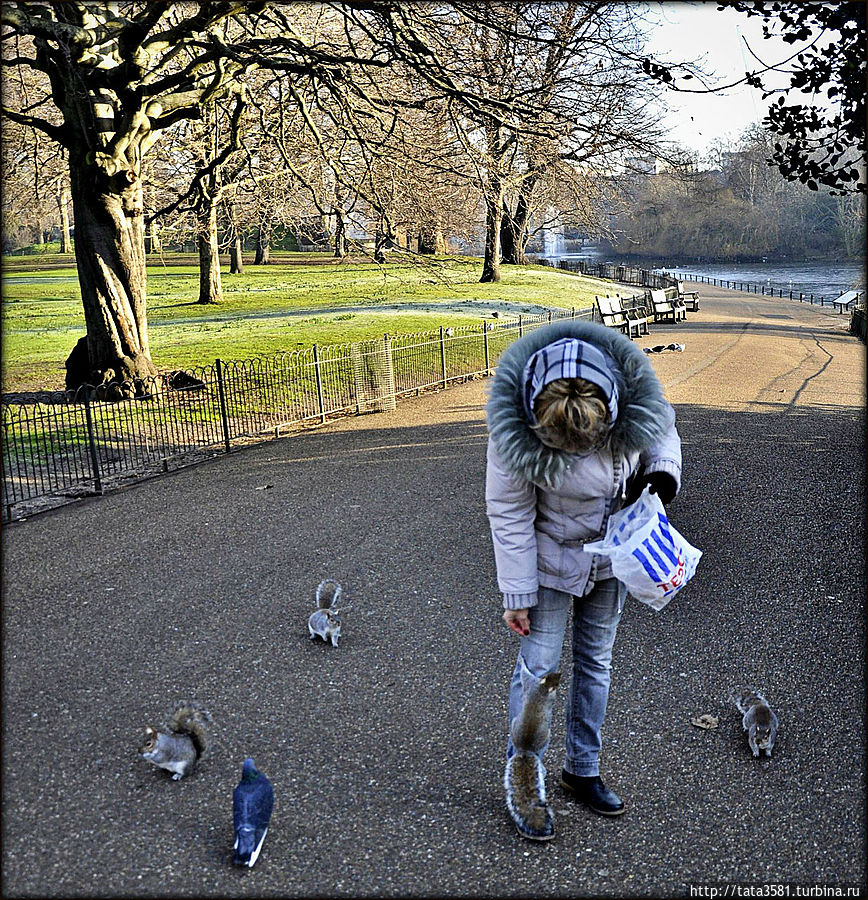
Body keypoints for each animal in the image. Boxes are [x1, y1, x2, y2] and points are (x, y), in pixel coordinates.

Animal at [502, 664, 564, 840]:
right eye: (555, 676)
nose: (561, 673)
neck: (543, 688)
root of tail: (525, 750)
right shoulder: (533, 684)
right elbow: (525, 674)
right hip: (544, 733)